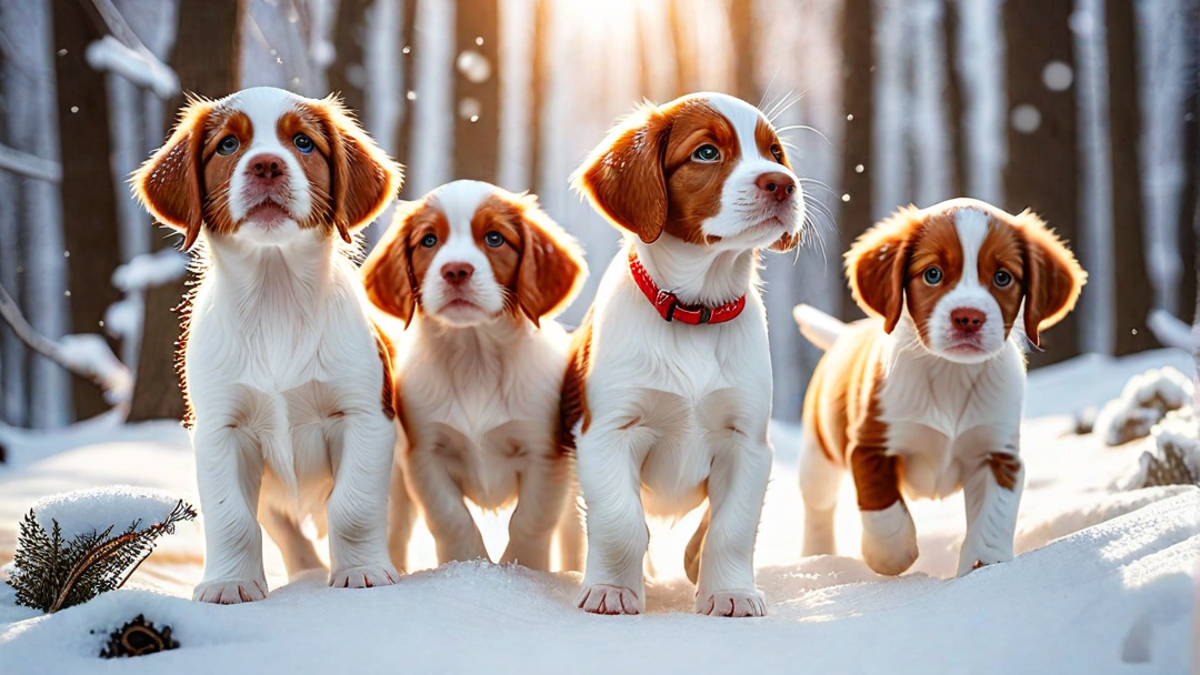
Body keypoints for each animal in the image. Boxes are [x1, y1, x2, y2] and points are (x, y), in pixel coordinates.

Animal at [132, 88, 403, 598]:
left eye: (303, 142)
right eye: (227, 144)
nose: (266, 165)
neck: (275, 295)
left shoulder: (364, 415)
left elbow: (353, 506)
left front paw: (361, 572)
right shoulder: (220, 429)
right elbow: (232, 517)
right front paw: (230, 585)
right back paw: (303, 573)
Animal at [364, 177, 590, 566]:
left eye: (495, 238)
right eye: (429, 240)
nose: (456, 270)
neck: (476, 358)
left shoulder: (546, 453)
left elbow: (530, 521)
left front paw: (524, 567)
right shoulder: (424, 454)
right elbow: (450, 518)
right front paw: (466, 561)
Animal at [564, 93, 806, 614]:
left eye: (775, 152)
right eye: (707, 153)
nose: (783, 183)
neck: (697, 310)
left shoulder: (747, 442)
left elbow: (731, 528)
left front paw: (730, 593)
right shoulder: (608, 432)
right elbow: (621, 522)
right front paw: (613, 590)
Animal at [796, 196, 1089, 576]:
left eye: (1002, 277)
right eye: (932, 274)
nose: (968, 317)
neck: (951, 372)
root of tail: (845, 334)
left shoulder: (998, 455)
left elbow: (992, 518)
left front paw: (985, 565)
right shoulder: (870, 446)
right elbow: (881, 506)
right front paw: (890, 554)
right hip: (819, 454)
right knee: (818, 506)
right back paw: (817, 555)